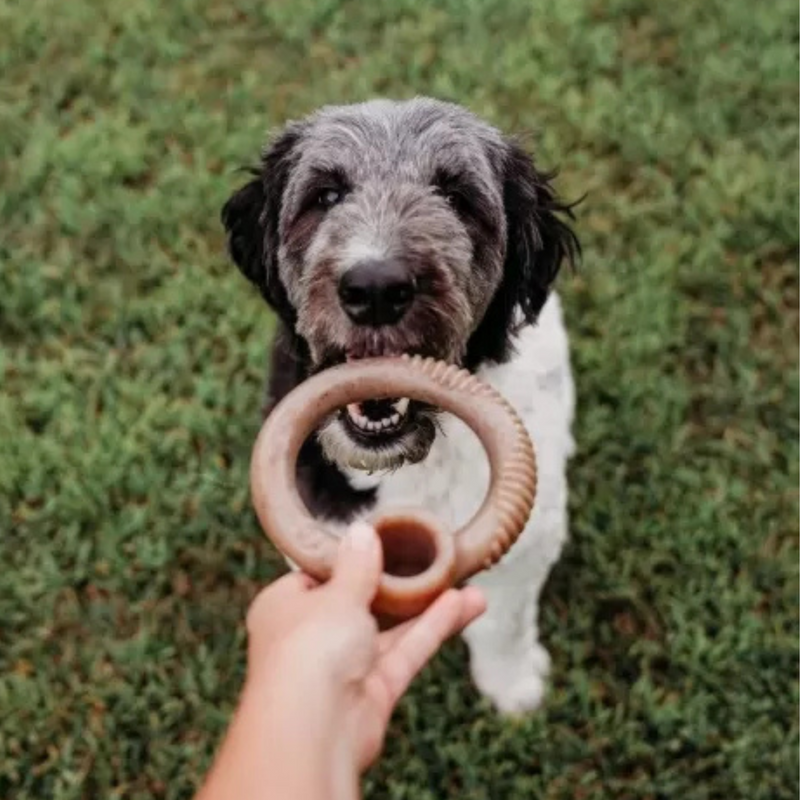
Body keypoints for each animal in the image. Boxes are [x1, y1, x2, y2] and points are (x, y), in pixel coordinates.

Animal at [222, 97, 580, 716]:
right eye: (326, 195)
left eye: (457, 198)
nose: (375, 288)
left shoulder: (528, 542)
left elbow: (504, 623)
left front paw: (512, 689)